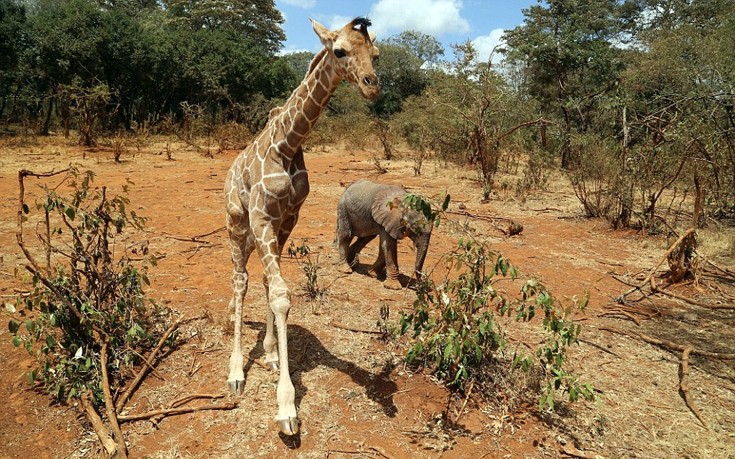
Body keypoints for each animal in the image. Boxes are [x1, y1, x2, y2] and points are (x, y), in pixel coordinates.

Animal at [223, 17, 380, 434]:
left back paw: (268, 351)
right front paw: (286, 406)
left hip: (265, 230)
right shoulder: (261, 215)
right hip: (236, 223)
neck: (288, 143)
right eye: (339, 50)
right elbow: (280, 293)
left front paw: (274, 357)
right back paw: (235, 369)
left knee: (258, 279)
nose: (372, 84)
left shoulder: (289, 216)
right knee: (240, 280)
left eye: (375, 54)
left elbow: (275, 288)